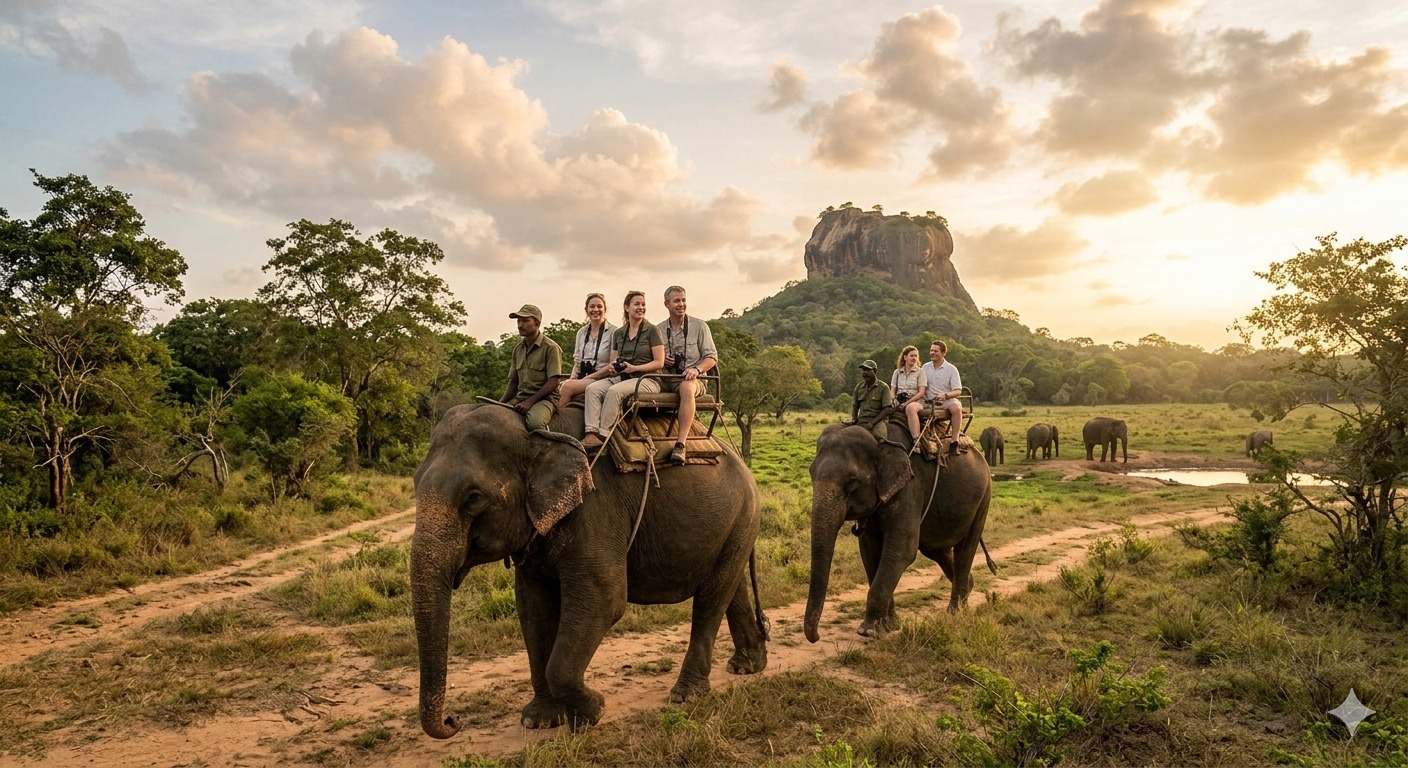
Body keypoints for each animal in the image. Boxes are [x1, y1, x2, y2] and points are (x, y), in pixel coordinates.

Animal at [411, 403, 769, 738]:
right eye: (414, 484)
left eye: (473, 498)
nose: (453, 720)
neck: (536, 433)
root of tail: (740, 460)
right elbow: (532, 608)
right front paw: (539, 721)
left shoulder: (595, 508)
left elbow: (604, 599)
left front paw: (592, 712)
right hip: (735, 525)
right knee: (730, 587)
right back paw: (747, 666)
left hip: (743, 515)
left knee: (711, 599)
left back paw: (687, 695)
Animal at [805, 421, 994, 642]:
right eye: (811, 474)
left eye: (852, 484)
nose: (816, 637)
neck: (878, 439)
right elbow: (869, 553)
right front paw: (889, 626)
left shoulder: (910, 487)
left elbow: (902, 550)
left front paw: (869, 631)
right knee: (936, 549)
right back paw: (968, 590)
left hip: (984, 497)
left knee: (965, 549)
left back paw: (955, 613)